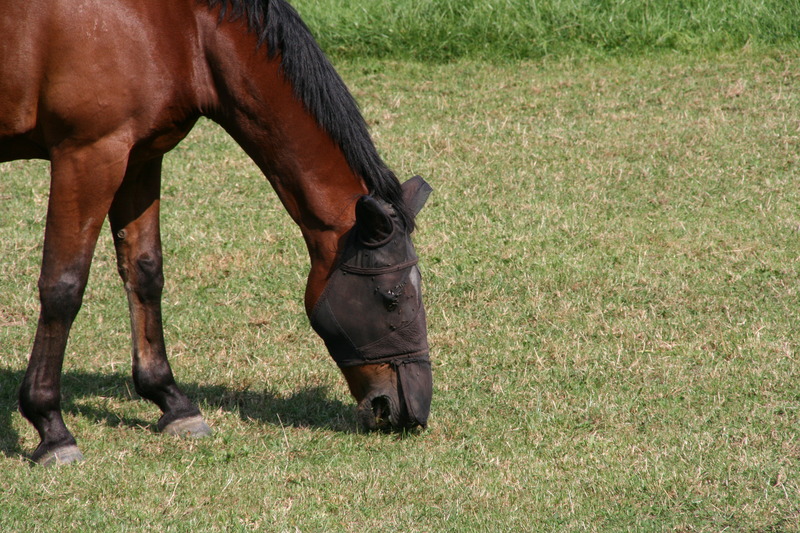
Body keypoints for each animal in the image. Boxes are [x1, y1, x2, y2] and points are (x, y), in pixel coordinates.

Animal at [0, 0, 433, 466]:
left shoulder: (139, 157)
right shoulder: (88, 156)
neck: (178, 30)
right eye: (391, 298)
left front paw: (172, 402)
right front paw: (50, 426)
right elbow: (63, 287)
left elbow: (144, 273)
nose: (412, 410)